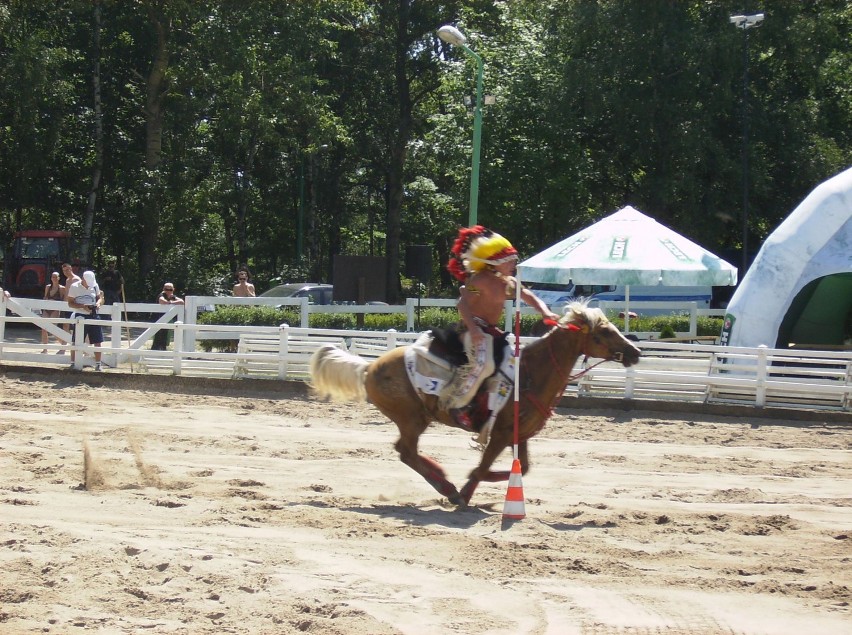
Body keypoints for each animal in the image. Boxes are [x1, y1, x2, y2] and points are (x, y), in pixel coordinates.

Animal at [308, 304, 640, 506]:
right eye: (605, 331)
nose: (635, 352)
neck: (529, 373)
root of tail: (368, 367)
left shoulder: (520, 434)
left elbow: (522, 468)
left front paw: (471, 485)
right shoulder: (500, 435)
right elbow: (482, 467)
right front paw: (465, 492)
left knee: (407, 452)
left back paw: (441, 477)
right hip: (412, 419)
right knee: (406, 452)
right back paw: (446, 487)